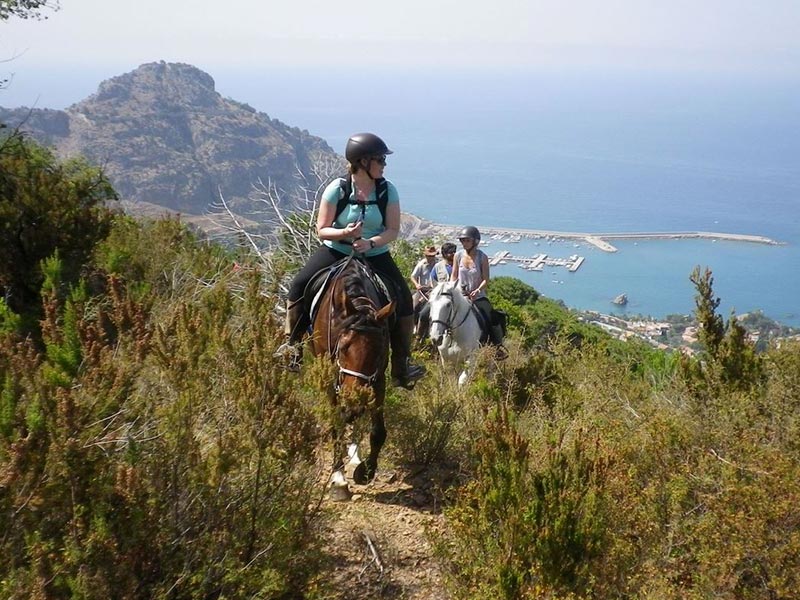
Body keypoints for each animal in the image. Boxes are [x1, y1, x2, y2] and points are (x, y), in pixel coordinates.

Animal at [312, 258, 396, 492]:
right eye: (343, 347)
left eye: (379, 350)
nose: (354, 403)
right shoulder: (331, 381)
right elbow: (336, 424)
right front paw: (338, 478)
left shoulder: (378, 379)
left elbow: (378, 432)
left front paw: (366, 471)